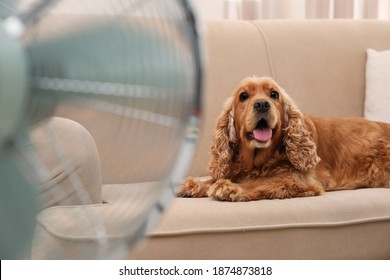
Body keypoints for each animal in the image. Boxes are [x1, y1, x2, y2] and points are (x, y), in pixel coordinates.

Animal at [177, 75, 390, 200]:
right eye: (243, 96)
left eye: (274, 94)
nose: (262, 104)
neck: (257, 160)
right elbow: (218, 177)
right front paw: (196, 184)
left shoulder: (298, 179)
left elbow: (258, 182)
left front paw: (229, 188)